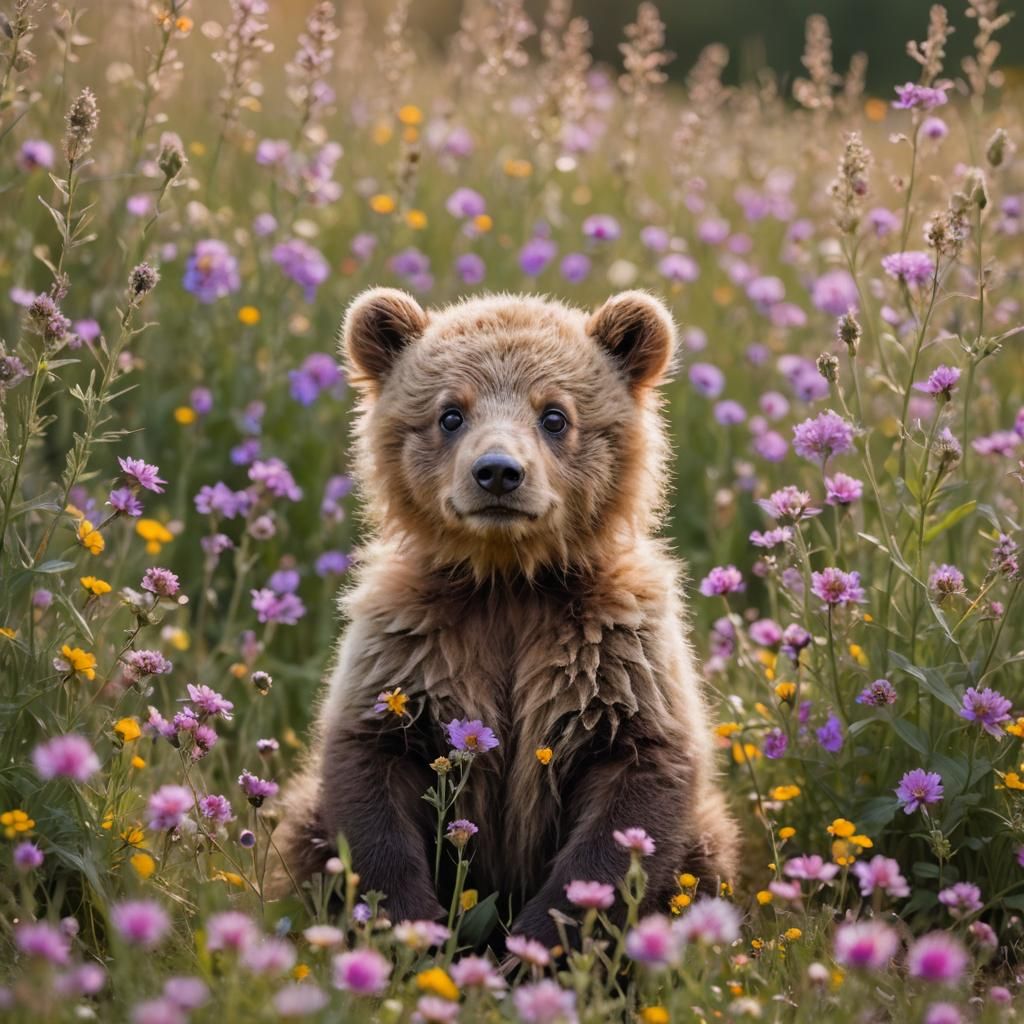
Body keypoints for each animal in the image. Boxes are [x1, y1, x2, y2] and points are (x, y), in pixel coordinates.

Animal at [270, 287, 737, 945]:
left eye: (555, 415)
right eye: (450, 413)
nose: (497, 471)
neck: (508, 580)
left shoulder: (614, 650)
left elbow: (633, 784)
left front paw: (544, 938)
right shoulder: (412, 644)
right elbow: (372, 779)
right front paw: (411, 927)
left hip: (704, 836)